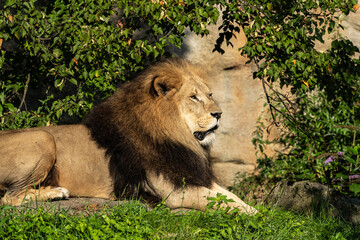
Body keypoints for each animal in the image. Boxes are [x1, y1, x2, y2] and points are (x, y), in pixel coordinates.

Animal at [0, 59, 258, 215]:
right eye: (193, 97)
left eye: (210, 94)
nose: (219, 114)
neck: (180, 136)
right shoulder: (174, 193)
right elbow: (224, 202)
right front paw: (256, 216)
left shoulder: (191, 175)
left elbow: (232, 197)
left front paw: (259, 211)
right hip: (44, 136)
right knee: (9, 198)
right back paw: (56, 192)